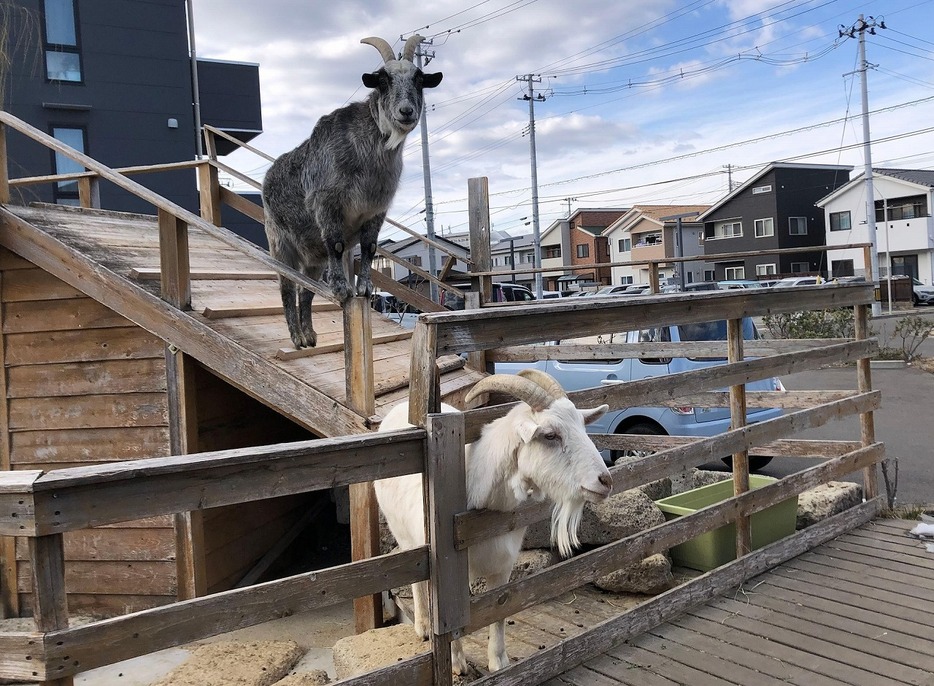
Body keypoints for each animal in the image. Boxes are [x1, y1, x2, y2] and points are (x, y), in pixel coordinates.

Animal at [260, 34, 442, 346]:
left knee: (305, 290)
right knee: (287, 286)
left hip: (312, 257)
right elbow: (336, 244)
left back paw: (310, 336)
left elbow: (369, 248)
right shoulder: (327, 203)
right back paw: (297, 337)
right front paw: (342, 289)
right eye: (383, 80)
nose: (406, 111)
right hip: (280, 243)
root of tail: (267, 178)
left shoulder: (375, 211)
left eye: (419, 79)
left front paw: (365, 289)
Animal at [376, 370, 616, 672]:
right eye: (550, 435)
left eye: (583, 427)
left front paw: (498, 662)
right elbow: (450, 619)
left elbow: (499, 609)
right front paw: (456, 662)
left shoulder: (504, 565)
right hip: (405, 535)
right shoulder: (449, 571)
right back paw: (422, 627)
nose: (605, 481)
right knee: (417, 578)